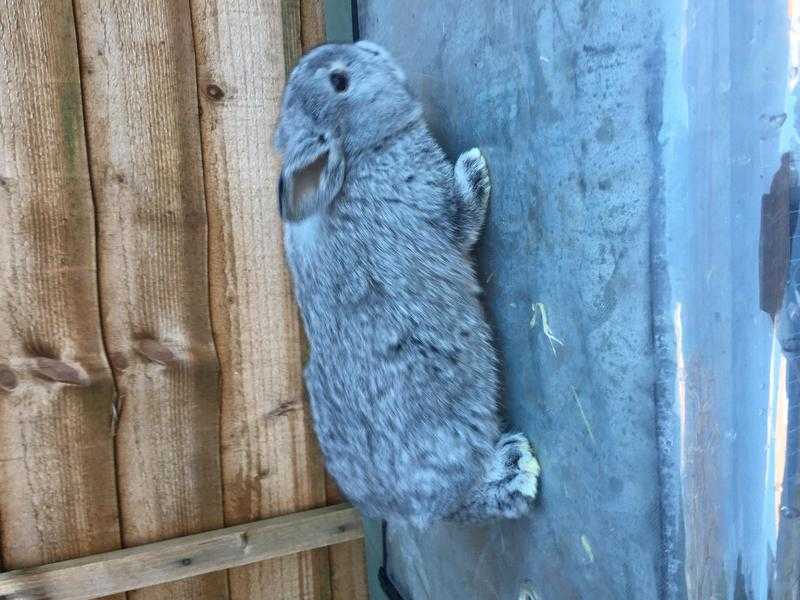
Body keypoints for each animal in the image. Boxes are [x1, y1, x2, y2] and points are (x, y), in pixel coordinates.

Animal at [276, 41, 544, 524]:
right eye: (340, 81)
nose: (373, 49)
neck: (362, 154)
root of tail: (403, 509)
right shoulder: (440, 212)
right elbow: (464, 218)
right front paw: (474, 167)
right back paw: (515, 469)